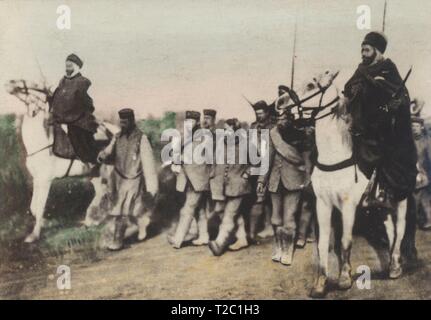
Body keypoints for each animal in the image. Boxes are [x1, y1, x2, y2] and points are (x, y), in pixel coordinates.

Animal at [5, 79, 120, 242]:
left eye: (35, 84)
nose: (10, 83)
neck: (41, 140)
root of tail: (114, 131)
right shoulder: (37, 179)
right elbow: (34, 208)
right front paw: (45, 224)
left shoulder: (45, 180)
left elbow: (40, 207)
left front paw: (34, 235)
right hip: (94, 173)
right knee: (101, 192)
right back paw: (91, 221)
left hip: (108, 172)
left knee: (110, 193)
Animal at [284, 70, 408, 298]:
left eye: (310, 85)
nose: (280, 102)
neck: (333, 156)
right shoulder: (322, 204)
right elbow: (323, 243)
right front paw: (320, 284)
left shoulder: (348, 205)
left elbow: (345, 241)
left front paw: (344, 279)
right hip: (380, 206)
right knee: (391, 230)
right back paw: (389, 264)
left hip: (403, 199)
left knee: (401, 230)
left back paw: (396, 266)